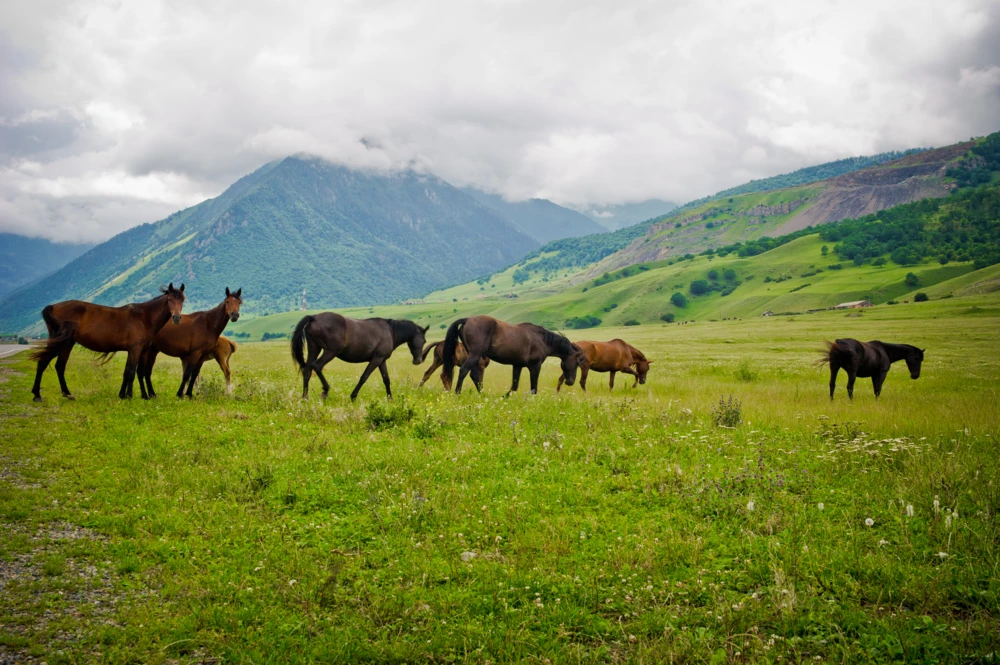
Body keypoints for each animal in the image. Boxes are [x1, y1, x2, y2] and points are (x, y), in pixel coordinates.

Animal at [29, 283, 186, 401]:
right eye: (170, 299)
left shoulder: (144, 350)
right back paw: (37, 395)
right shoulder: (135, 349)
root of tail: (53, 306)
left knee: (60, 366)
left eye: (182, 300)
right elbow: (131, 372)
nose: (177, 318)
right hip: (60, 341)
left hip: (67, 343)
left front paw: (134, 395)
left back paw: (67, 394)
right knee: (43, 362)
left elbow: (136, 372)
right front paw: (129, 396)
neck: (144, 317)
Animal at [291, 313, 428, 401]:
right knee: (317, 366)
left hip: (314, 349)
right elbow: (364, 377)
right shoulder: (376, 359)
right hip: (330, 351)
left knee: (307, 370)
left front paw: (390, 399)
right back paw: (325, 390)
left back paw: (305, 397)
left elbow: (386, 379)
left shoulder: (381, 360)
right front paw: (353, 396)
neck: (390, 331)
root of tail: (314, 317)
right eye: (424, 340)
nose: (418, 361)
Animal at [442, 316, 585, 394]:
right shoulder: (535, 367)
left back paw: (483, 395)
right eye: (577, 362)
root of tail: (467, 320)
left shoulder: (517, 366)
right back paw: (458, 393)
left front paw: (504, 397)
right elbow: (534, 388)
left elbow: (514, 386)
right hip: (475, 355)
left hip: (475, 357)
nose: (570, 381)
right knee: (464, 371)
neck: (542, 340)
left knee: (474, 375)